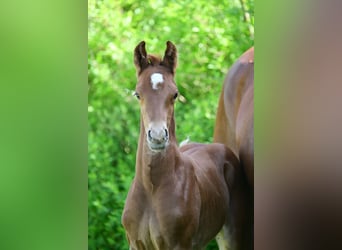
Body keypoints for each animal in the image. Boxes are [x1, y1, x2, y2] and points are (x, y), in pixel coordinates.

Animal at [123, 41, 248, 250]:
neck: (151, 189)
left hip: (232, 234)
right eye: (137, 94)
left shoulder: (179, 244)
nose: (158, 137)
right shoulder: (135, 244)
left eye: (175, 94)